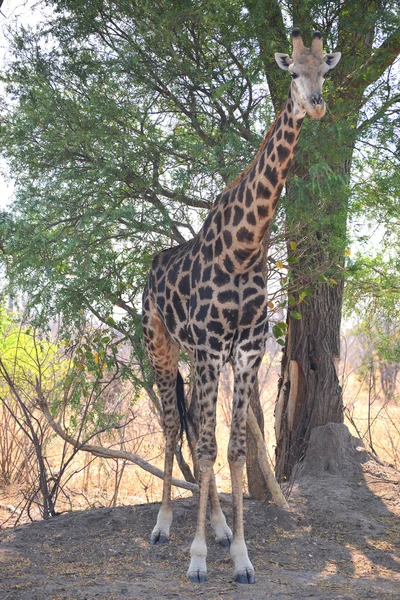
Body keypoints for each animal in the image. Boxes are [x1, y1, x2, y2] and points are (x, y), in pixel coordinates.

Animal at [141, 30, 340, 584]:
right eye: (292, 71)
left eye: (325, 69)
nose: (315, 104)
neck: (245, 245)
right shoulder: (212, 348)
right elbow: (208, 447)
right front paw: (197, 558)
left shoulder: (246, 350)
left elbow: (231, 450)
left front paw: (240, 555)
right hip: (161, 347)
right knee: (174, 426)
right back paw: (163, 526)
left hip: (194, 356)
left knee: (194, 427)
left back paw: (219, 527)